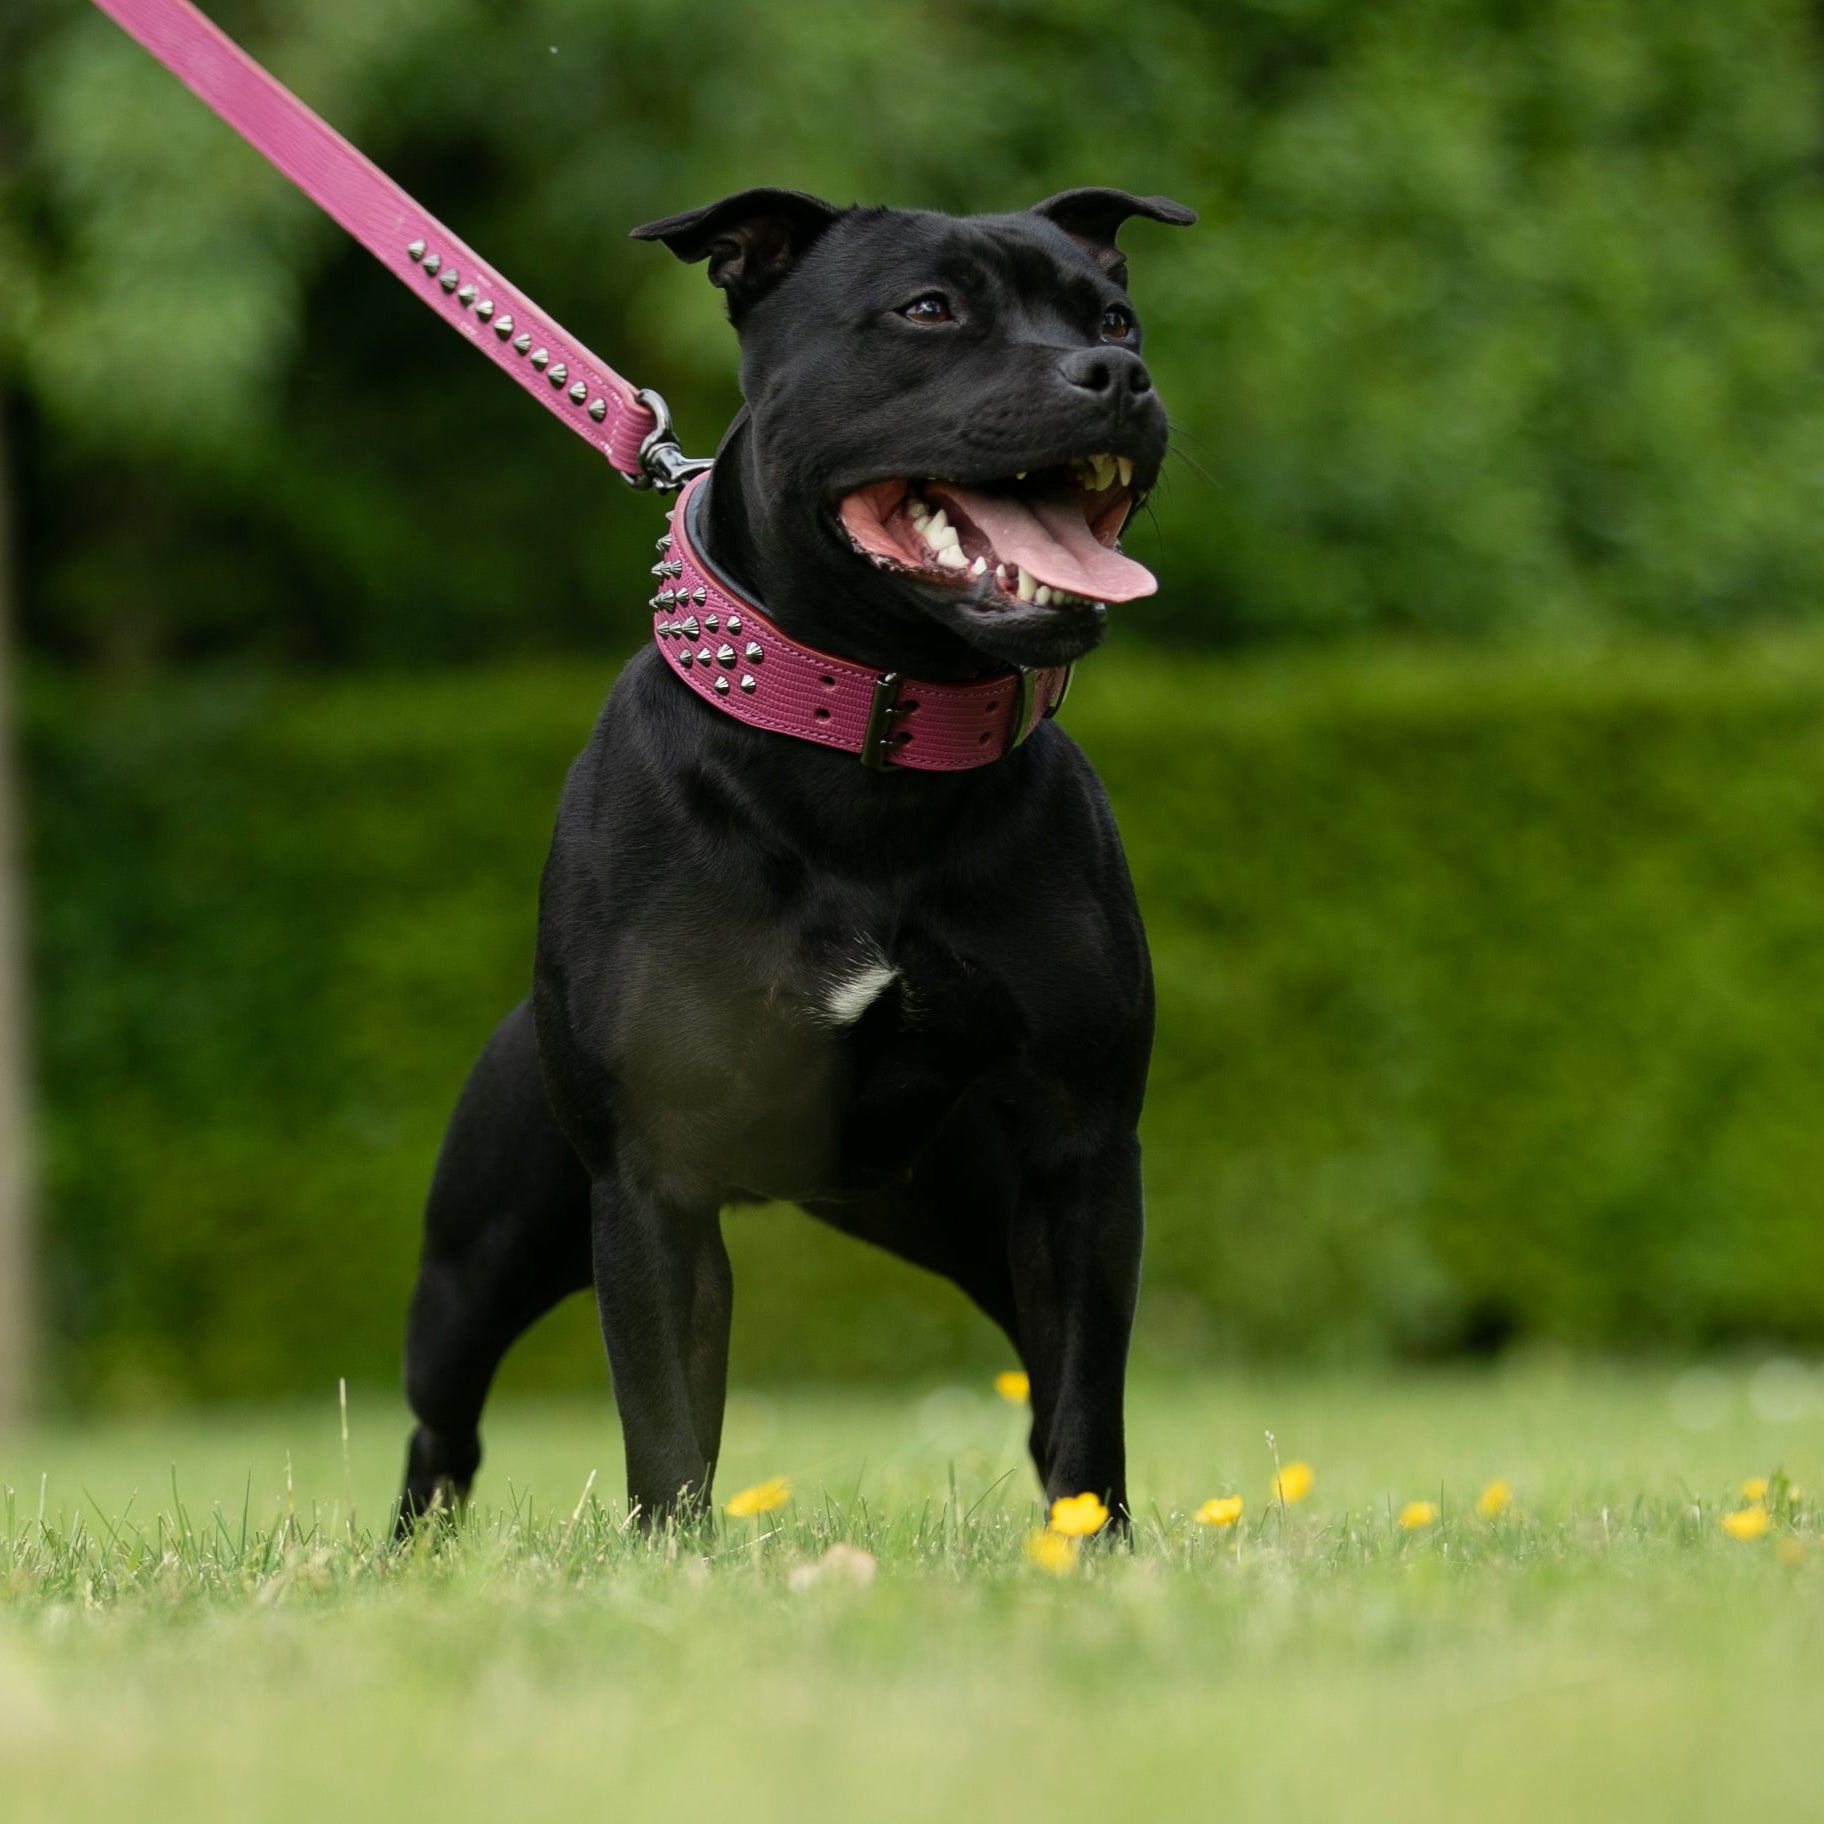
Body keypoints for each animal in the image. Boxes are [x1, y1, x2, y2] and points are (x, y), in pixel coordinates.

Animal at [397, 185, 1189, 1532]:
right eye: (928, 308)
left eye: (1116, 317)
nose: (1118, 375)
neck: (870, 740)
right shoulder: (649, 1185)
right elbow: (667, 1430)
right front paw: (674, 1564)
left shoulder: (1078, 1155)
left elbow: (1088, 1407)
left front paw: (1093, 1552)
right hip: (480, 1255)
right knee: (441, 1426)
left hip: (967, 1208)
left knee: (1042, 1397)